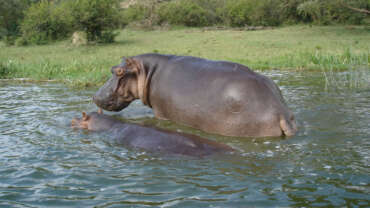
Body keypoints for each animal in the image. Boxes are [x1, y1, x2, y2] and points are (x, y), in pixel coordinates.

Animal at [93, 53, 298, 138]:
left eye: (119, 71)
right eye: (112, 68)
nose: (94, 97)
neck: (147, 70)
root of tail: (279, 112)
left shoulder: (160, 112)